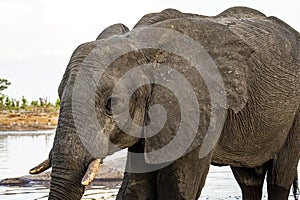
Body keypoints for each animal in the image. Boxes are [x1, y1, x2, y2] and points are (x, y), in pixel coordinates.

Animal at [29, 6, 300, 200]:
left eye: (110, 104)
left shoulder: (199, 104)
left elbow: (178, 188)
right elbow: (135, 188)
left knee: (279, 178)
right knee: (248, 180)